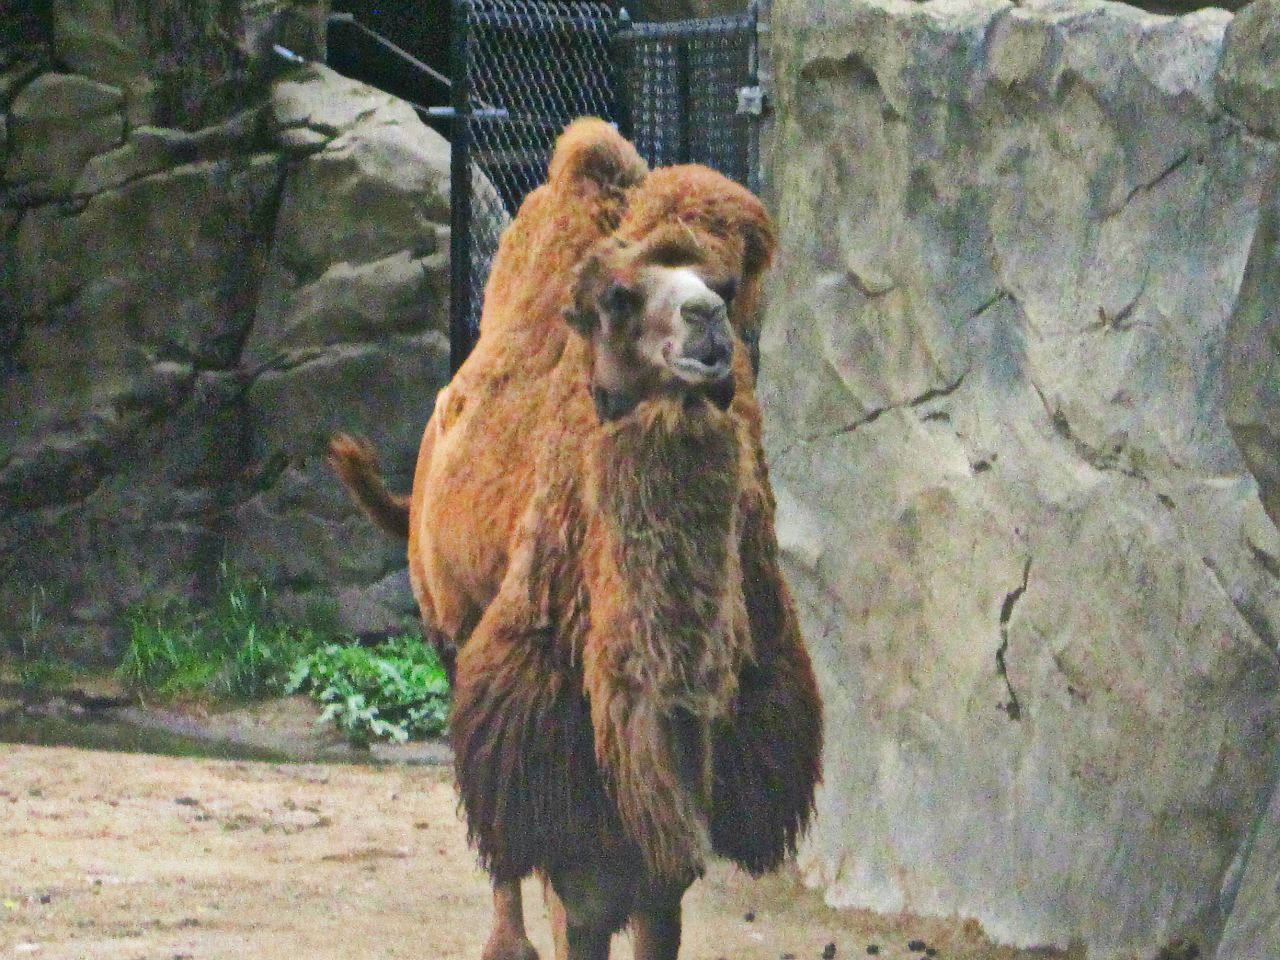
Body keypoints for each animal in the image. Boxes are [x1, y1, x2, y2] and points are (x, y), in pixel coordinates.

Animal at [329, 119, 822, 960]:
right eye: (620, 297)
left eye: (725, 286)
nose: (705, 321)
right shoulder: (555, 735)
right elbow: (579, 903)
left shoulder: (690, 776)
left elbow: (659, 910)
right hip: (450, 629)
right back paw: (506, 944)